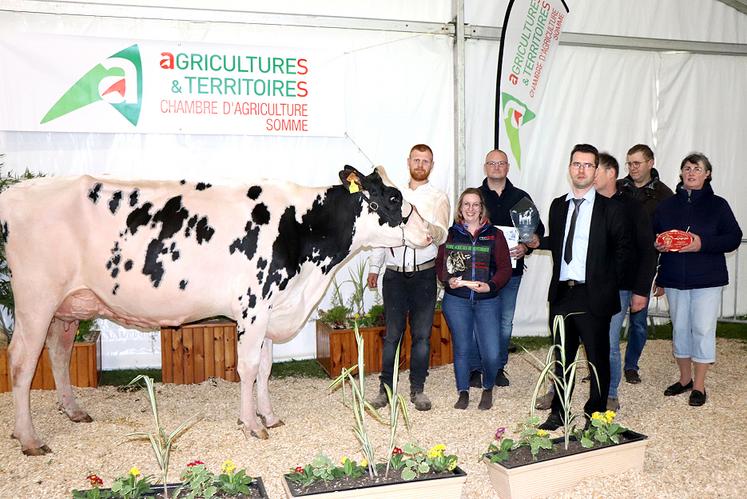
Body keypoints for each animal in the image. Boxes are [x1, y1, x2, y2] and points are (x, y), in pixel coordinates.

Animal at [0, 166, 432, 456]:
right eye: (394, 199)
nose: (431, 232)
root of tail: (20, 191)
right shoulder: (254, 306)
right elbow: (248, 368)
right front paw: (251, 425)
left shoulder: (270, 310)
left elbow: (266, 369)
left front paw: (268, 417)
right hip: (36, 298)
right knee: (22, 361)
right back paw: (30, 438)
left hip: (67, 307)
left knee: (58, 352)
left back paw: (73, 411)